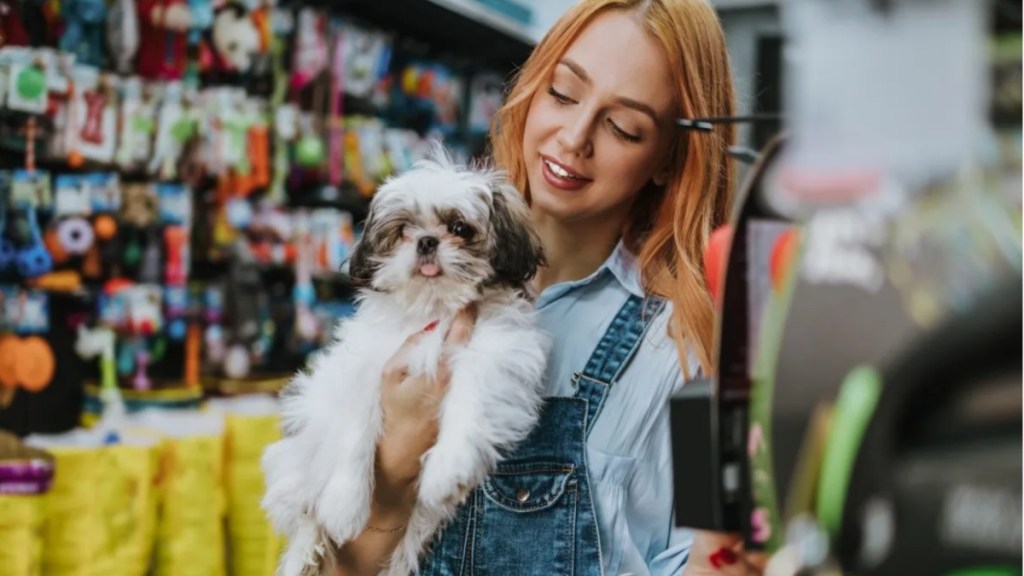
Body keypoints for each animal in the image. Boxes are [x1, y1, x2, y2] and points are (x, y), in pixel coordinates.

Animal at [264, 145, 552, 569]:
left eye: (460, 229)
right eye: (403, 232)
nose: (427, 241)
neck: (435, 307)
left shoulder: (494, 354)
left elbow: (471, 401)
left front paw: (448, 467)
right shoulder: (366, 365)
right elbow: (356, 426)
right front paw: (345, 503)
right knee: (306, 514)